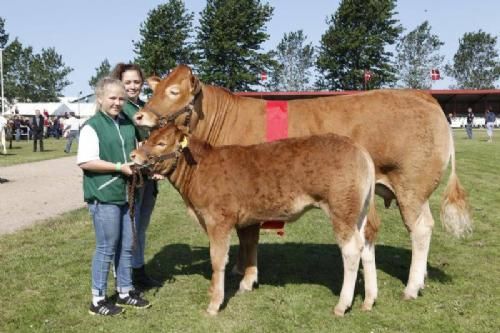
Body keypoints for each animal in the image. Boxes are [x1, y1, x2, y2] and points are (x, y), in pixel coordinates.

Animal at [131, 123, 376, 316]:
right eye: (147, 138)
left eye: (161, 143)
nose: (133, 156)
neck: (199, 169)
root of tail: (359, 148)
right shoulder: (244, 219)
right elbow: (249, 246)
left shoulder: (218, 220)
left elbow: (217, 259)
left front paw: (214, 303)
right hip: (359, 213)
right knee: (366, 245)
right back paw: (369, 299)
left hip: (341, 209)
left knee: (351, 250)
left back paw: (342, 305)